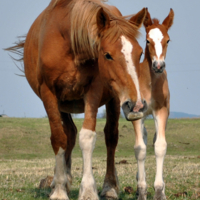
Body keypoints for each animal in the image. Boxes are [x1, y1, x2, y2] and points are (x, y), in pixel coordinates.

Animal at [6, 0, 147, 200]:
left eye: (140, 53)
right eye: (107, 54)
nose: (136, 105)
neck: (70, 44)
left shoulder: (93, 90)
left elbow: (87, 137)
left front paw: (88, 190)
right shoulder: (49, 93)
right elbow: (59, 138)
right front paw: (58, 190)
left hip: (113, 99)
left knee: (110, 137)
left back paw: (109, 187)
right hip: (63, 105)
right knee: (70, 134)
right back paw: (61, 182)